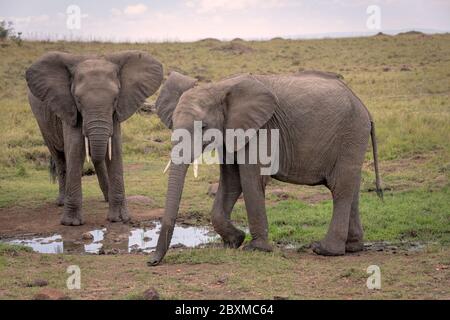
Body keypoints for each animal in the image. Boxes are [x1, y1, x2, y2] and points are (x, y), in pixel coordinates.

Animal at [25, 50, 163, 225]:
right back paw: (61, 202)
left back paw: (106, 198)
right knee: (59, 156)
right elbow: (75, 149)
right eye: (78, 100)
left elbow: (115, 149)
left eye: (115, 99)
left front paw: (119, 219)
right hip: (42, 121)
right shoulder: (68, 106)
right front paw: (71, 223)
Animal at [149, 71, 382, 266]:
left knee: (340, 188)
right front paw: (235, 241)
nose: (151, 261)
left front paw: (256, 249)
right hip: (353, 138)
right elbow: (231, 181)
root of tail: (365, 109)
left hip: (351, 134)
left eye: (203, 127)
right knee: (352, 187)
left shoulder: (262, 129)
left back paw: (324, 250)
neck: (219, 87)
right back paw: (353, 247)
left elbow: (251, 179)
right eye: (172, 124)